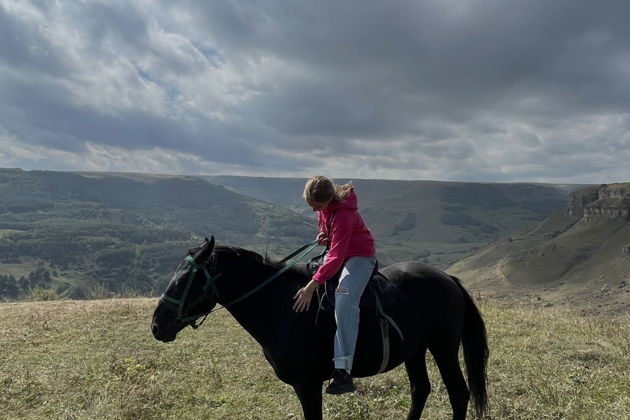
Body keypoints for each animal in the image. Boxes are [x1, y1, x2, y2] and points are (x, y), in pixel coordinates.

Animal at [152, 238, 488, 418]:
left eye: (187, 279)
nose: (157, 325)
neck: (283, 309)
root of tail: (448, 279)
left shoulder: (308, 385)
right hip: (415, 351)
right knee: (420, 390)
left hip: (443, 347)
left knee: (459, 393)